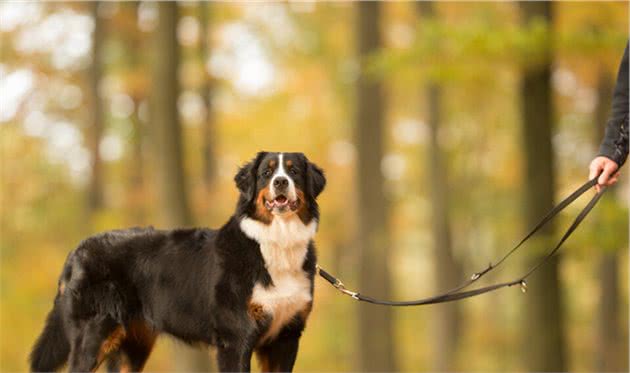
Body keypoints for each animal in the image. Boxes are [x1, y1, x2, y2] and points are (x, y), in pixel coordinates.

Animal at [29, 151, 326, 372]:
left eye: (294, 172)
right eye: (267, 172)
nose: (280, 182)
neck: (277, 243)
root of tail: (77, 250)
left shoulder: (285, 337)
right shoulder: (236, 337)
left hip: (132, 345)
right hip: (92, 335)